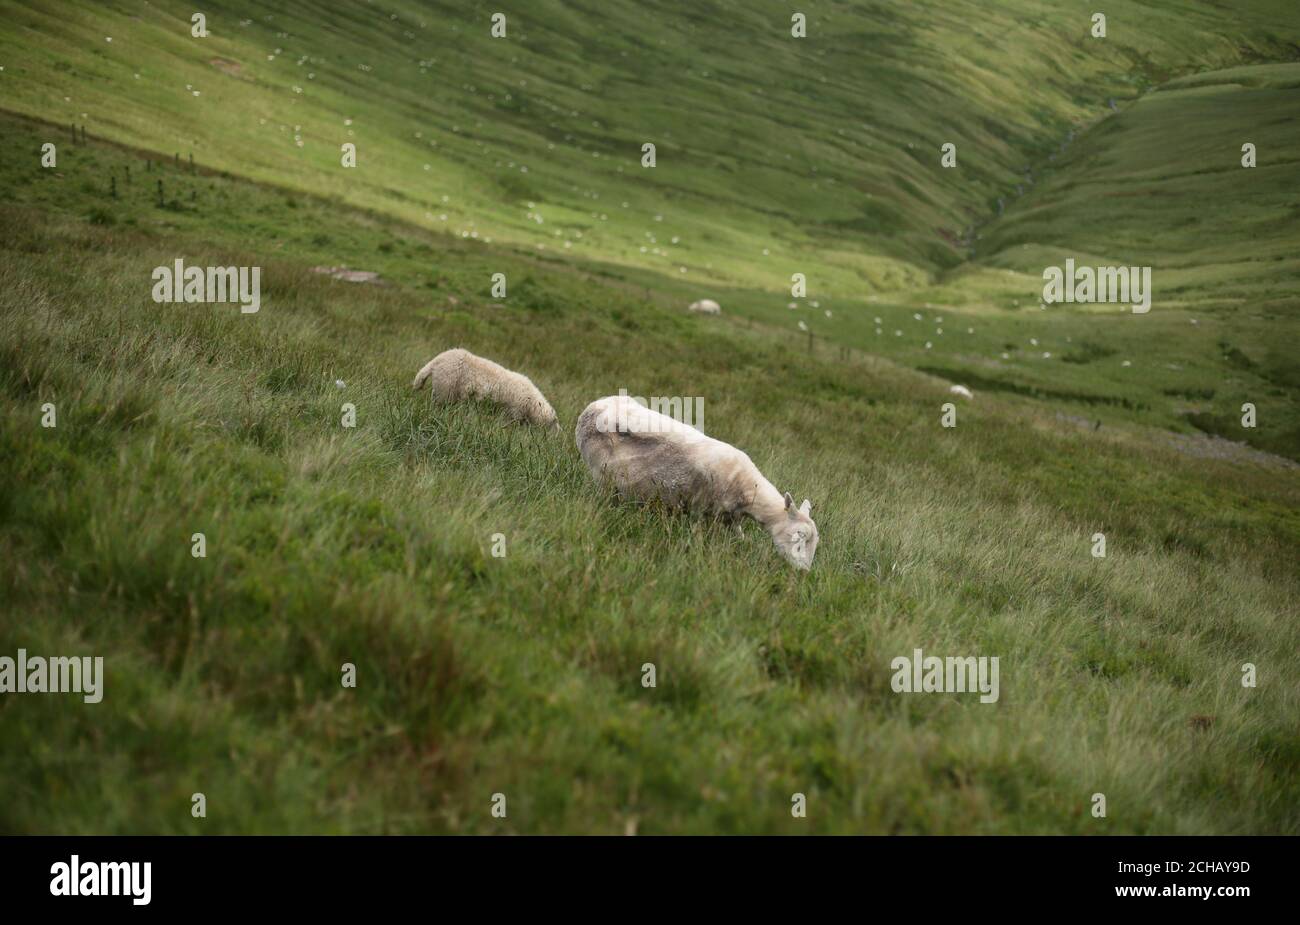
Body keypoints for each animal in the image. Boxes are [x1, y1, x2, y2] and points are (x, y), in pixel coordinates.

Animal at [413, 348, 559, 428]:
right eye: (553, 426)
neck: (532, 403)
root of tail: (437, 360)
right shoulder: (513, 410)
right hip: (447, 385)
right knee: (439, 404)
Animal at [575, 394, 819, 570]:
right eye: (799, 535)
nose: (803, 572)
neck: (748, 490)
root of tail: (592, 407)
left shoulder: (730, 519)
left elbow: (741, 540)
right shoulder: (699, 510)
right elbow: (699, 536)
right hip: (600, 474)